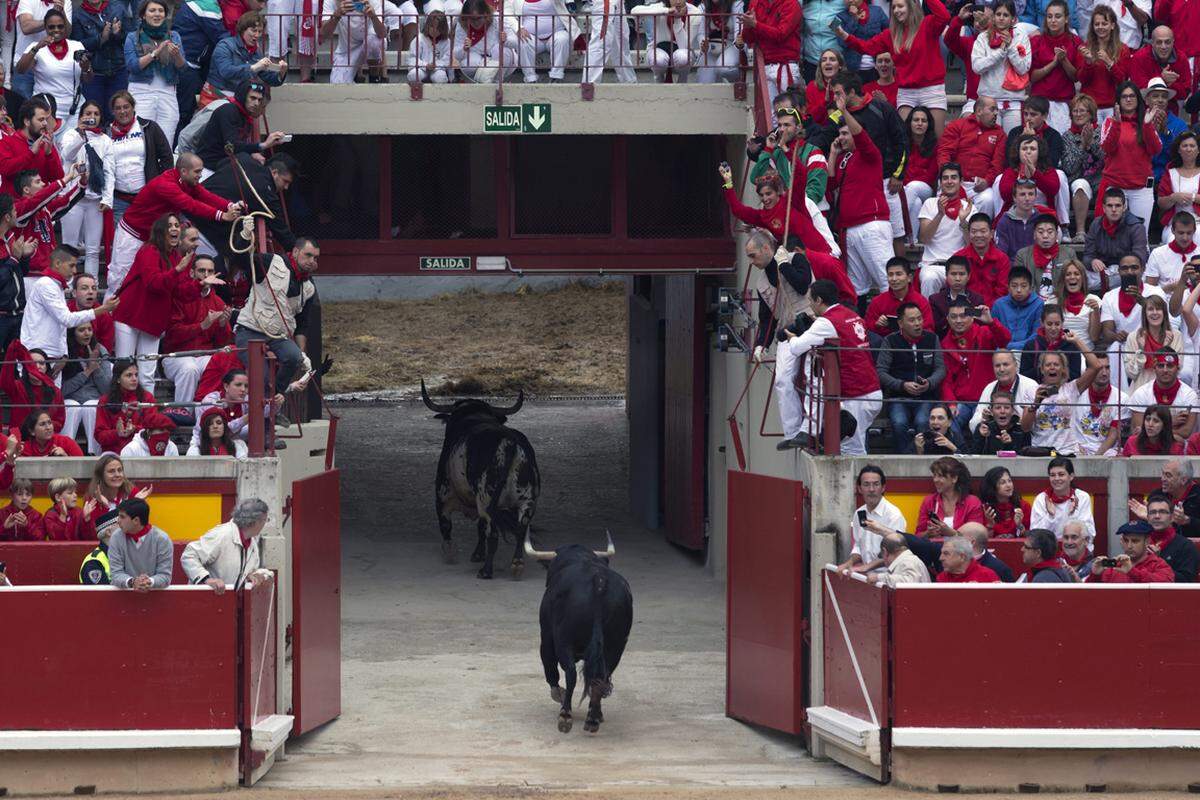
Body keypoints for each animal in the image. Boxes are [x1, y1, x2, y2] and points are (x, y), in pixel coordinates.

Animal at [420, 381, 537, 582]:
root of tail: (509, 443)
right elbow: (480, 527)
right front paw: (477, 554)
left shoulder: (443, 497)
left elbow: (447, 526)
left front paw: (450, 554)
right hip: (526, 502)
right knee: (520, 532)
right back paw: (517, 565)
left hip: (487, 500)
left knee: (493, 534)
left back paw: (486, 571)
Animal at [528, 534, 633, 734]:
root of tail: (599, 582)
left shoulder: (546, 636)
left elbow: (550, 667)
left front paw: (559, 695)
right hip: (616, 645)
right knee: (602, 676)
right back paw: (593, 717)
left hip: (563, 640)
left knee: (570, 674)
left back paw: (565, 715)